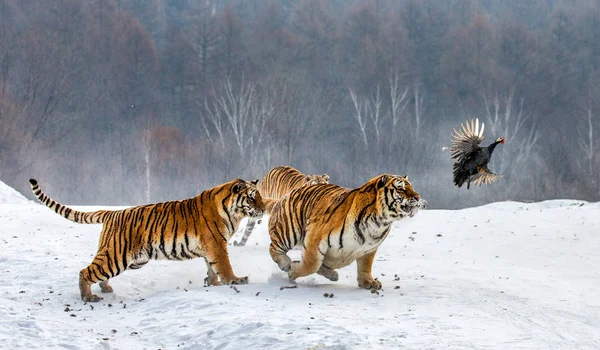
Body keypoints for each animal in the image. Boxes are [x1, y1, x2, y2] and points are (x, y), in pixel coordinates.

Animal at [28, 178, 262, 300]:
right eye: (252, 198)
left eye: (258, 196)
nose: (262, 208)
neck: (234, 212)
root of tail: (112, 213)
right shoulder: (217, 244)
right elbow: (223, 265)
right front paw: (235, 280)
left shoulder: (209, 247)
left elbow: (211, 267)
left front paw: (212, 283)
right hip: (117, 257)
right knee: (85, 271)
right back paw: (89, 296)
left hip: (130, 259)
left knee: (97, 272)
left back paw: (105, 289)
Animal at [264, 174, 424, 290]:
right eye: (400, 189)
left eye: (412, 187)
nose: (418, 197)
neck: (380, 222)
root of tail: (287, 194)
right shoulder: (315, 239)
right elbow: (311, 264)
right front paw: (292, 271)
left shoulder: (369, 248)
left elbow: (366, 266)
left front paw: (368, 282)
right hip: (288, 232)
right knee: (274, 248)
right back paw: (286, 263)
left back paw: (332, 275)